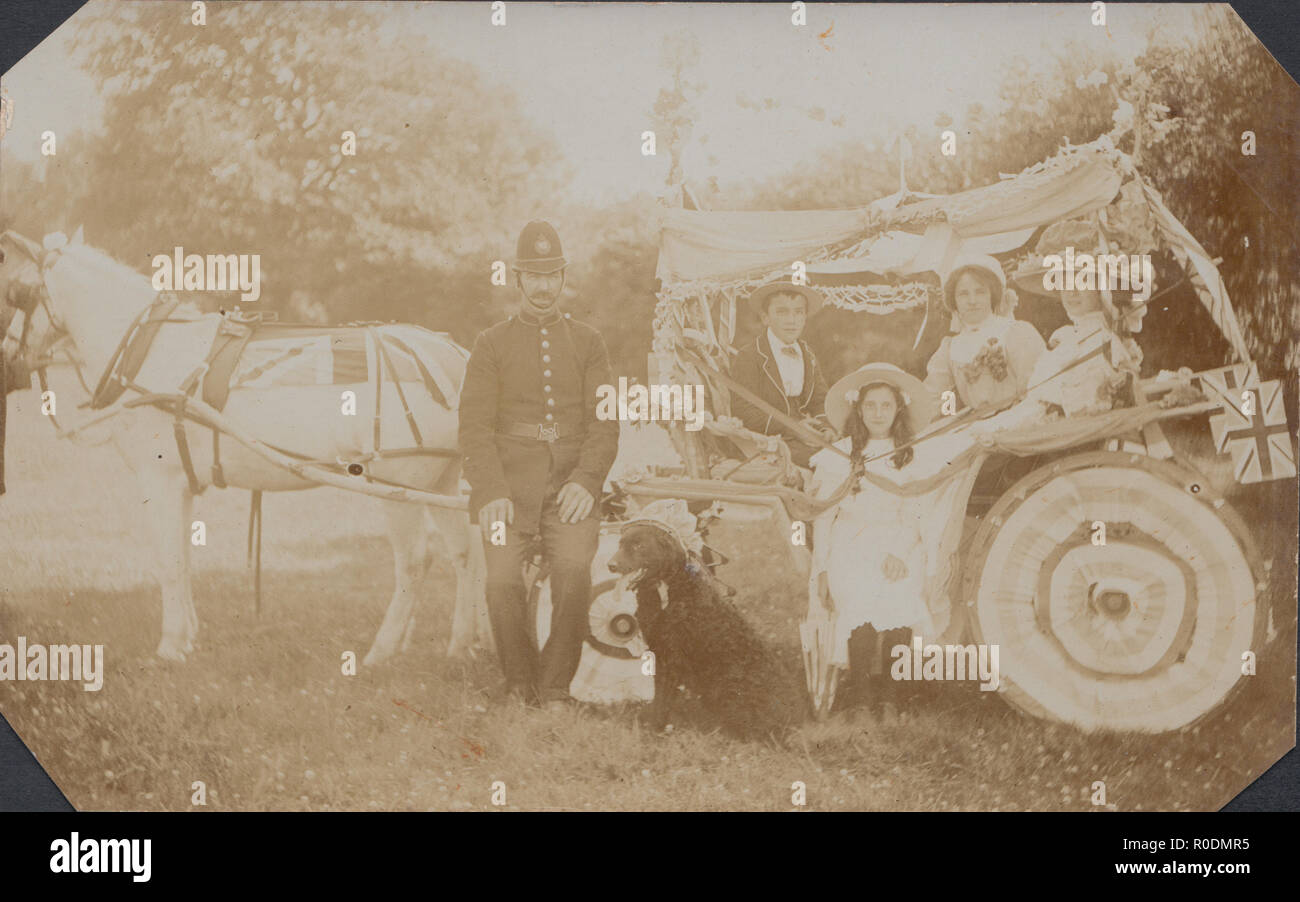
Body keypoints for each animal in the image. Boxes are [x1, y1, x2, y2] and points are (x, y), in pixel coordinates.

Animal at [1, 232, 488, 665]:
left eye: (18, 293)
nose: (8, 359)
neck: (150, 352)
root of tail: (453, 355)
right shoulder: (180, 482)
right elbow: (182, 557)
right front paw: (187, 635)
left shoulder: (160, 480)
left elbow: (168, 560)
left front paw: (170, 646)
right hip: (441, 481)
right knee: (466, 551)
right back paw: (461, 642)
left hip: (400, 485)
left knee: (416, 560)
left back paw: (384, 649)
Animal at [605, 522, 800, 743]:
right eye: (621, 544)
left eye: (639, 545)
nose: (611, 565)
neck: (671, 587)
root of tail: (795, 719)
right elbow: (660, 700)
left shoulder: (671, 660)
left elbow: (661, 703)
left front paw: (654, 733)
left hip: (725, 689)